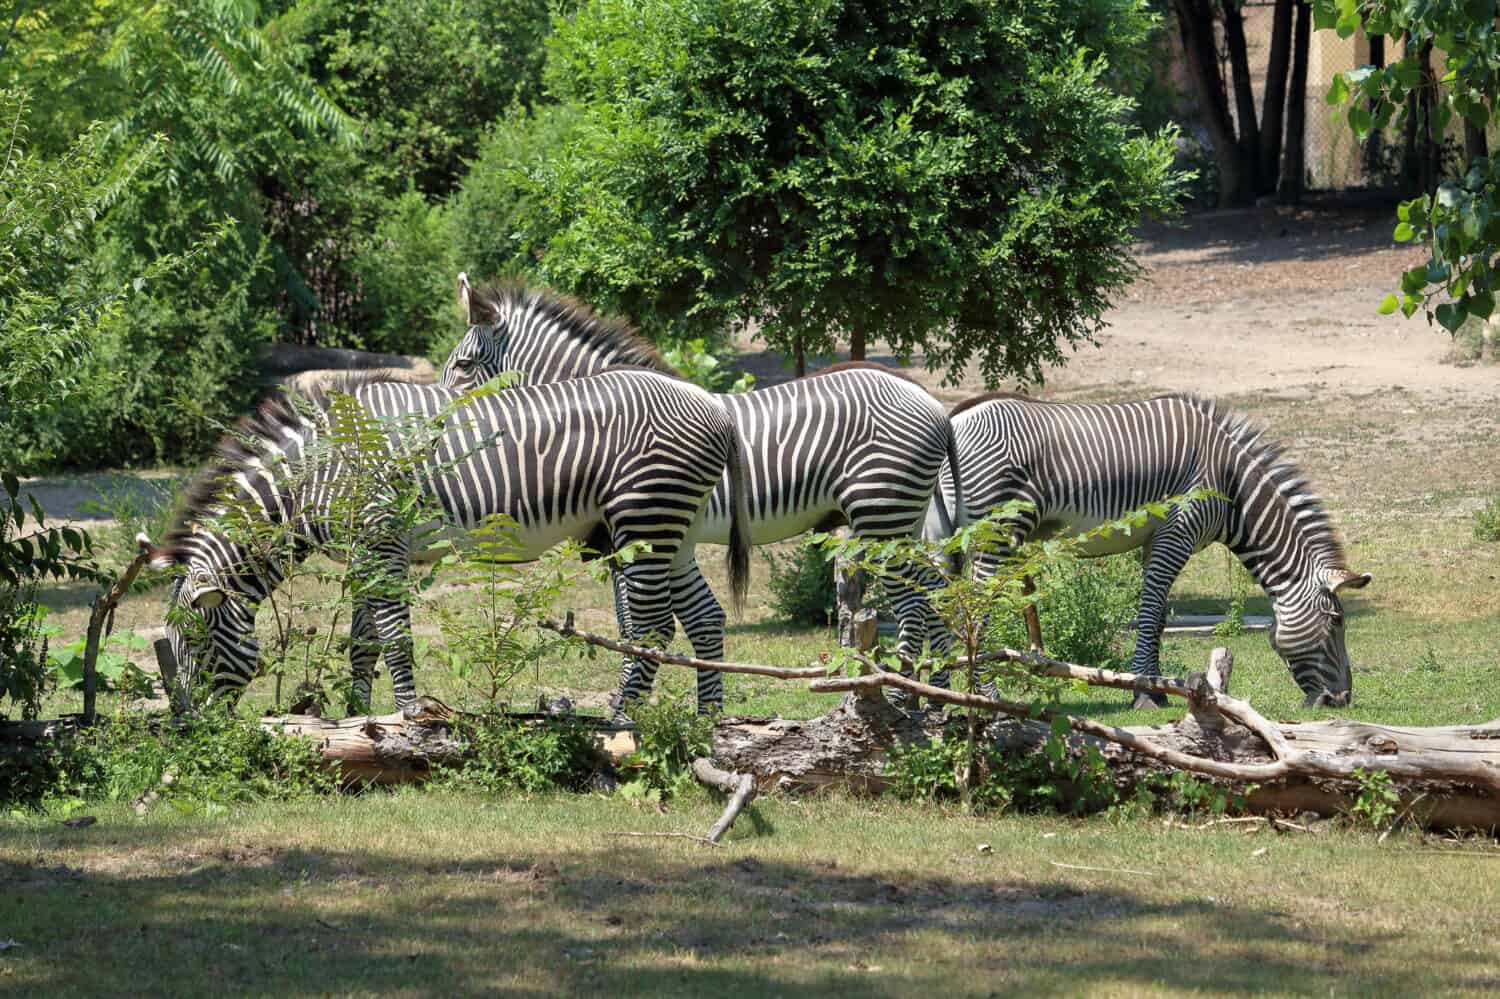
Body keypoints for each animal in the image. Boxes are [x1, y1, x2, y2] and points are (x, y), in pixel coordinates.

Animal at [147, 367, 750, 708]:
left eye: (195, 645)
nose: (191, 730)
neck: (316, 473)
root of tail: (717, 405)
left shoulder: (381, 535)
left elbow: (394, 636)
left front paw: (410, 718)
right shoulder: (365, 551)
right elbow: (363, 643)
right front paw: (357, 721)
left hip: (646, 515)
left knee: (651, 629)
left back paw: (622, 719)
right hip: (675, 526)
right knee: (703, 618)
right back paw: (708, 721)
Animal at [438, 273, 966, 708]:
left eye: (463, 365)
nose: (440, 429)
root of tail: (933, 404)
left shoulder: (626, 537)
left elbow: (633, 624)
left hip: (882, 512)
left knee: (914, 603)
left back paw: (902, 699)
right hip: (908, 517)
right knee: (939, 595)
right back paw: (937, 699)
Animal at [930, 390, 1374, 708]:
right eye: (1336, 621)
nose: (1342, 700)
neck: (1232, 487)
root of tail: (956, 417)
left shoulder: (1154, 542)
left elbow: (1158, 618)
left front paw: (1158, 690)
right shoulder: (1176, 535)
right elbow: (1147, 616)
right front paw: (1144, 693)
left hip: (941, 536)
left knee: (936, 606)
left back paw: (936, 691)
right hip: (996, 532)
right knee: (975, 611)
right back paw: (985, 696)